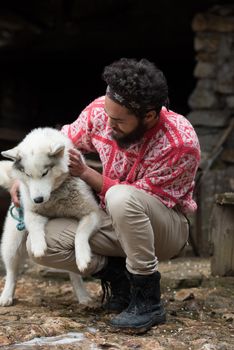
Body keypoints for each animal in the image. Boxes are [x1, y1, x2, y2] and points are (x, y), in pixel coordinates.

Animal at [0, 128, 100, 306]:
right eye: (28, 174)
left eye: (45, 173)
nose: (38, 199)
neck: (55, 195)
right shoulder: (31, 213)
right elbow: (35, 229)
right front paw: (39, 247)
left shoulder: (91, 213)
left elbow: (80, 235)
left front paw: (83, 257)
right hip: (13, 242)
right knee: (11, 271)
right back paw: (6, 296)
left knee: (73, 273)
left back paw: (82, 295)